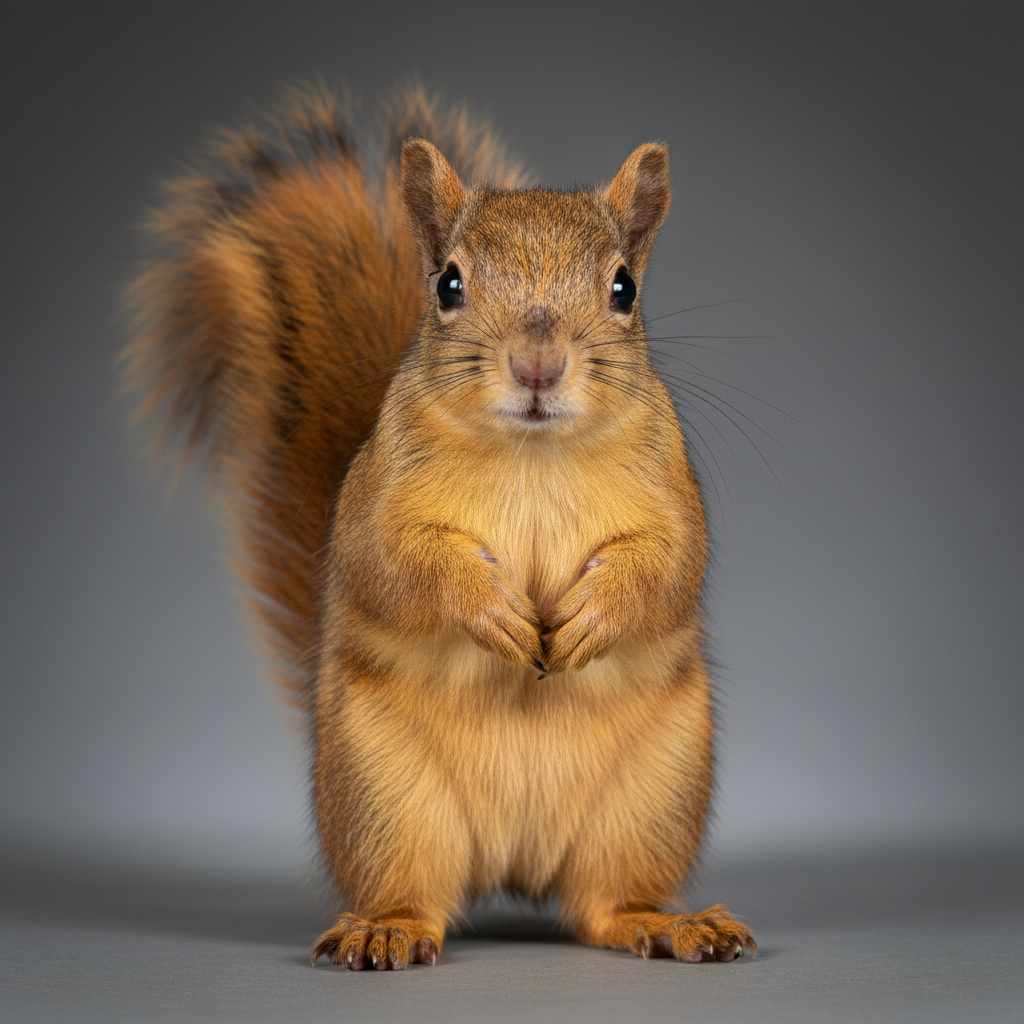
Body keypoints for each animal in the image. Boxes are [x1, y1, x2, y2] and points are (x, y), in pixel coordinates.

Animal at [124, 85, 756, 970]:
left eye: (624, 288)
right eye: (449, 284)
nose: (536, 365)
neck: (532, 451)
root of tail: (516, 869)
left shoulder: (672, 494)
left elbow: (670, 566)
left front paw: (590, 616)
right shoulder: (374, 505)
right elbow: (392, 567)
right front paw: (492, 609)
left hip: (654, 798)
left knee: (606, 903)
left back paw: (667, 922)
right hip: (383, 797)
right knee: (417, 892)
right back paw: (386, 929)